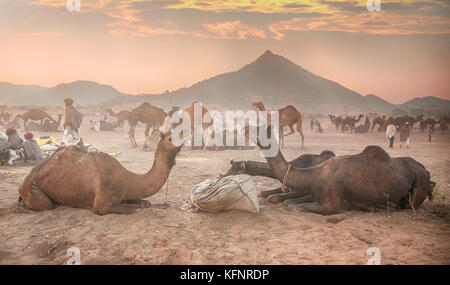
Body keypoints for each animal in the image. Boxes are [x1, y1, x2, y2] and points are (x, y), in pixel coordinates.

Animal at [18, 130, 182, 213]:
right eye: (170, 137)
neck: (128, 180)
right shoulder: (102, 203)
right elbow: (131, 209)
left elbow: (144, 202)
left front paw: (143, 203)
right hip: (32, 191)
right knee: (46, 205)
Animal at [253, 125, 432, 214]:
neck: (313, 173)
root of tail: (424, 170)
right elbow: (288, 201)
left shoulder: (331, 204)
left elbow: (291, 205)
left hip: (419, 185)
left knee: (409, 206)